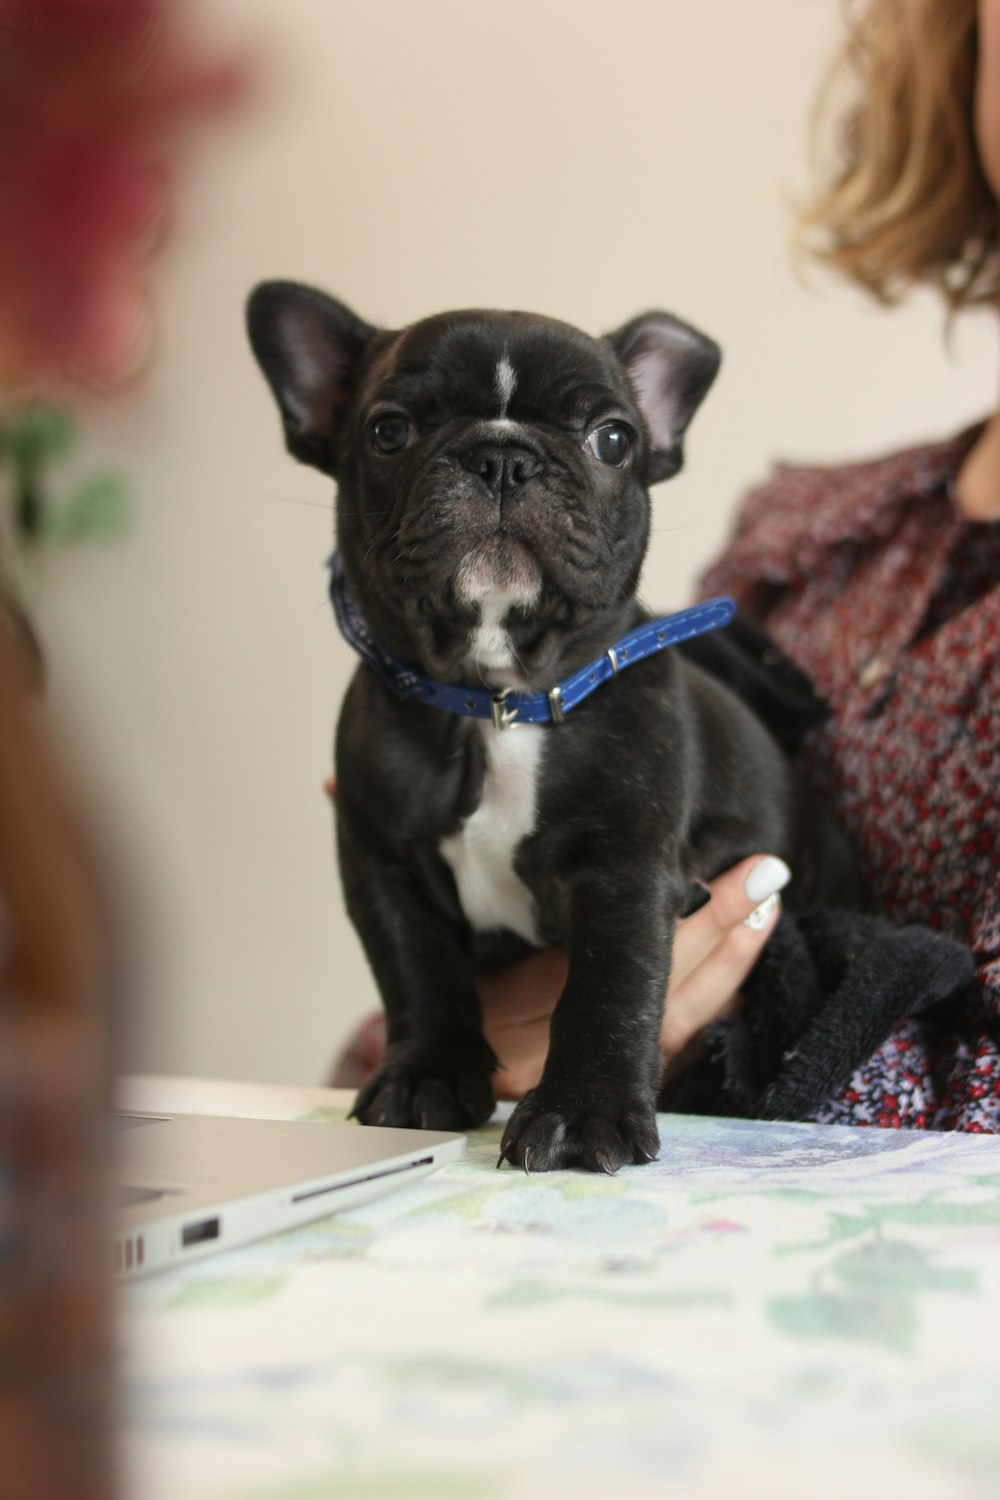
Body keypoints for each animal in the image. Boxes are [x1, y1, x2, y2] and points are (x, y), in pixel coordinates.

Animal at [245, 282, 857, 1170]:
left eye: (613, 439)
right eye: (389, 431)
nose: (503, 457)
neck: (500, 706)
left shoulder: (625, 871)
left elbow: (607, 989)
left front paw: (580, 1112)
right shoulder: (382, 862)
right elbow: (415, 969)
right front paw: (427, 1076)